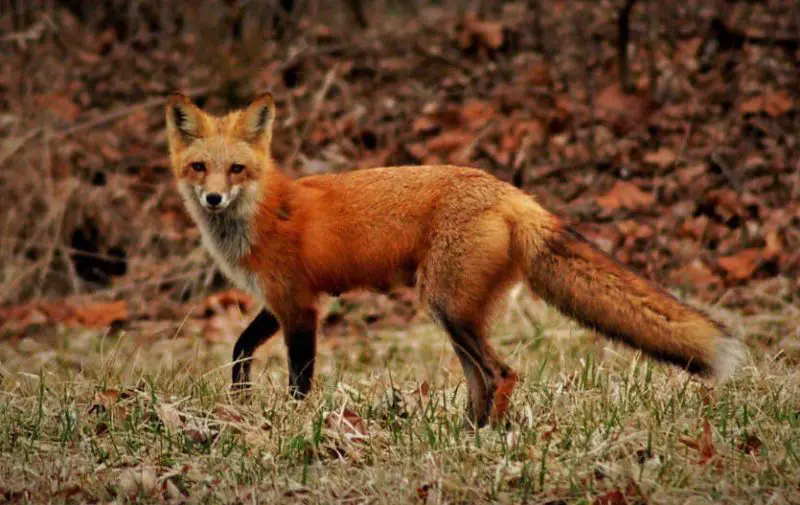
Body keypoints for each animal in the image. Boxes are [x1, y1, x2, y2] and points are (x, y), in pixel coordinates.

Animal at [165, 92, 744, 428]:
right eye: (199, 168)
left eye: (236, 169)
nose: (213, 199)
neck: (262, 213)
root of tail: (512, 193)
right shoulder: (280, 302)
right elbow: (240, 348)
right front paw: (240, 399)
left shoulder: (302, 307)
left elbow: (298, 381)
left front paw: (291, 425)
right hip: (456, 312)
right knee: (479, 381)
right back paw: (466, 435)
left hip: (448, 307)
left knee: (502, 373)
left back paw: (488, 439)